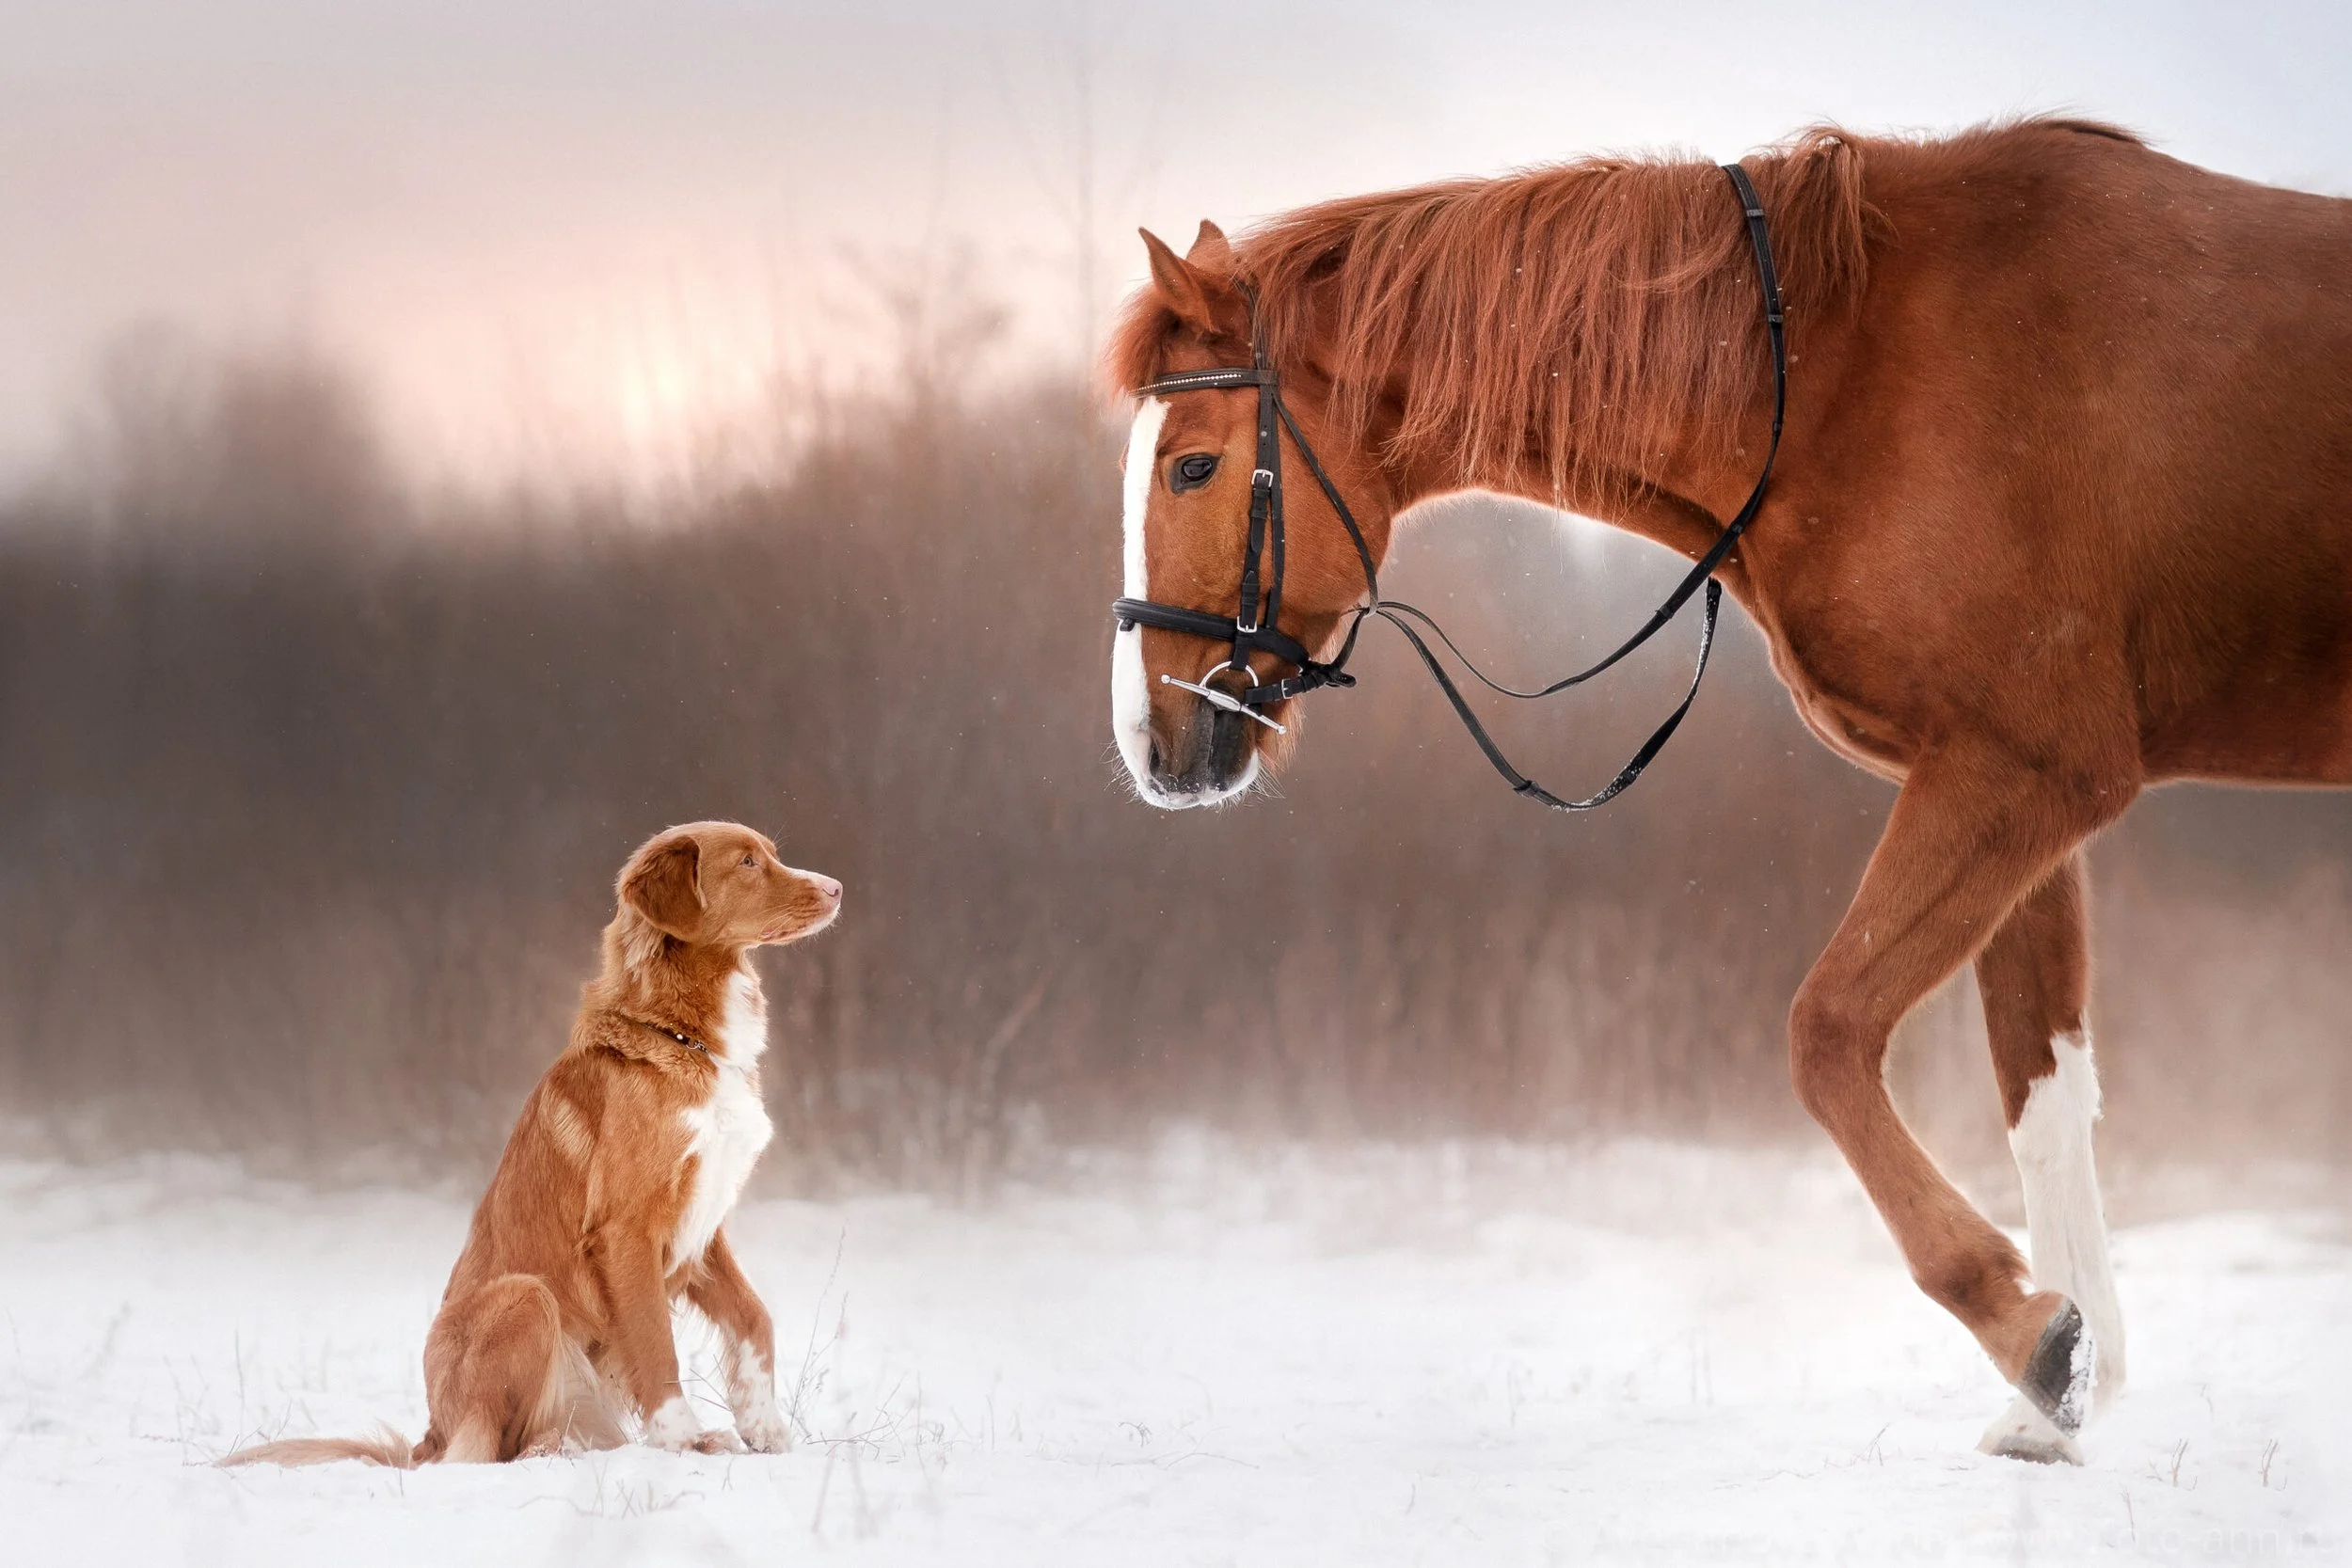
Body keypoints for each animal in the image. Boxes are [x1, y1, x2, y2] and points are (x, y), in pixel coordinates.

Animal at [1102, 116, 2352, 1465]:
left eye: (1192, 468)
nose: (1152, 740)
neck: (1842, 367)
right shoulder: (2027, 803)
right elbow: (2044, 1092)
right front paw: (2058, 1397)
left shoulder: (2020, 774)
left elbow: (1829, 1033)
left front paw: (2031, 1332)